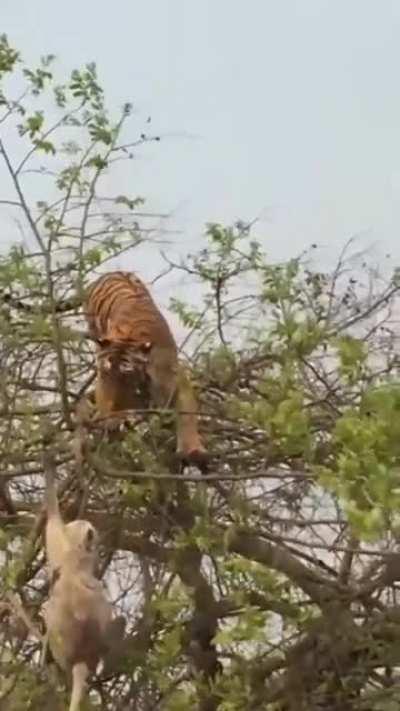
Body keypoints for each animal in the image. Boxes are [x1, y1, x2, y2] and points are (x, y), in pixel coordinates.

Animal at [42, 453, 125, 711]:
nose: (96, 543)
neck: (74, 560)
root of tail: (80, 659)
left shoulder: (61, 555)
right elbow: (52, 519)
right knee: (119, 621)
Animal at [83, 271, 208, 464]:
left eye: (126, 374)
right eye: (109, 373)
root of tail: (112, 273)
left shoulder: (174, 381)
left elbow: (187, 415)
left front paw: (193, 449)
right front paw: (109, 419)